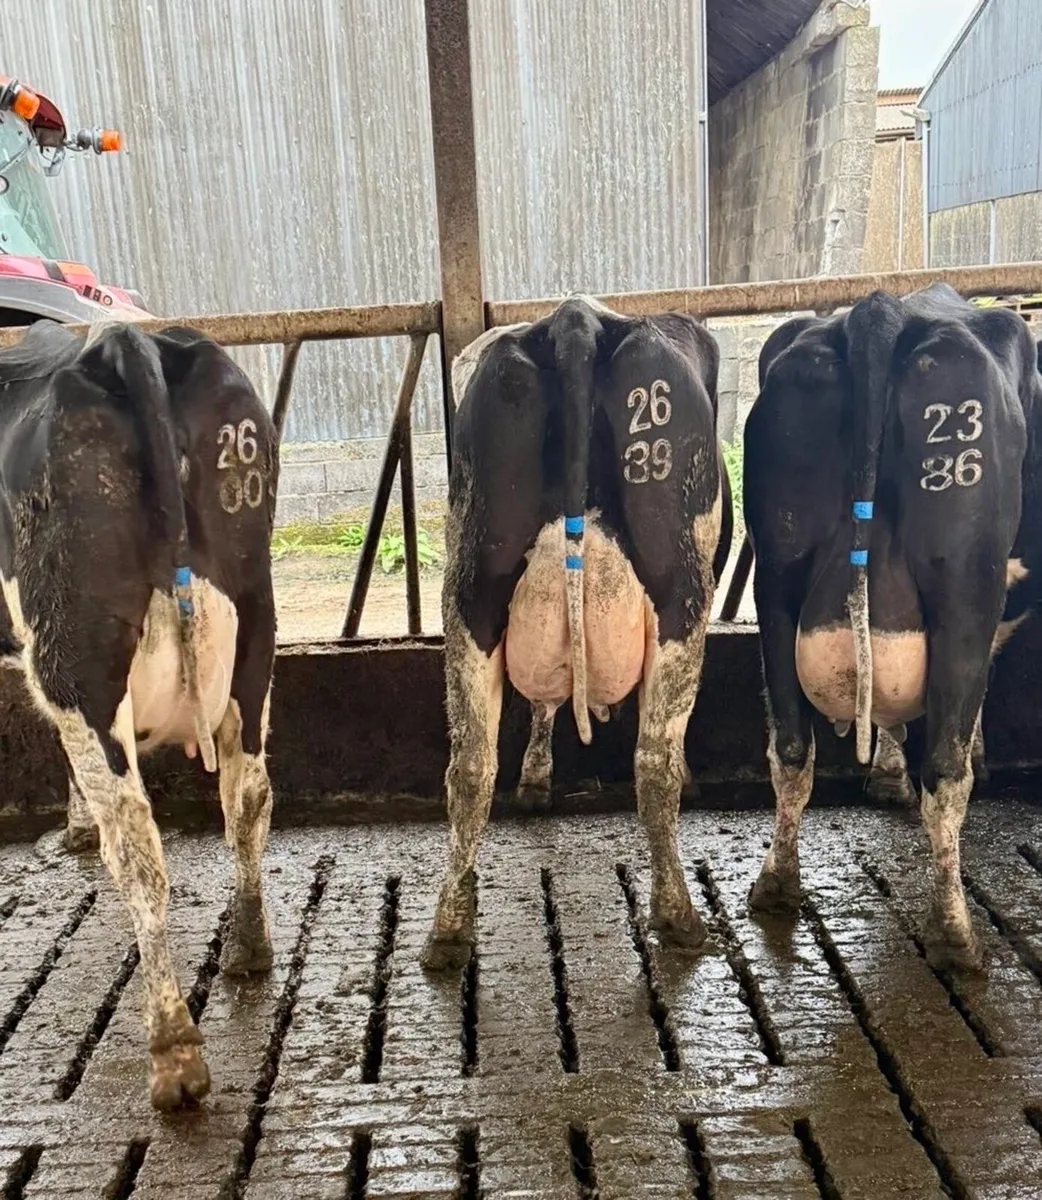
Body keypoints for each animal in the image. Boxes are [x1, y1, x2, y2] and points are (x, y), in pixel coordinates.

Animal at [0, 319, 279, 1107]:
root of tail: (128, 340)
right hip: (255, 611)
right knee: (247, 795)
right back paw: (249, 947)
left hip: (76, 654)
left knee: (138, 846)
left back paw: (174, 1051)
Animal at [421, 296, 732, 970]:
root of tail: (576, 318)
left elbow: (543, 697)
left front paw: (536, 779)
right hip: (681, 590)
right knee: (654, 762)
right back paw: (680, 917)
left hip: (471, 587)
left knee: (470, 766)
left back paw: (449, 928)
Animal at [743, 282, 1041, 971]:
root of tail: (881, 310)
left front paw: (883, 774)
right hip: (965, 577)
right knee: (946, 770)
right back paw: (956, 932)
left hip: (777, 568)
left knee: (791, 748)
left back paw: (776, 884)